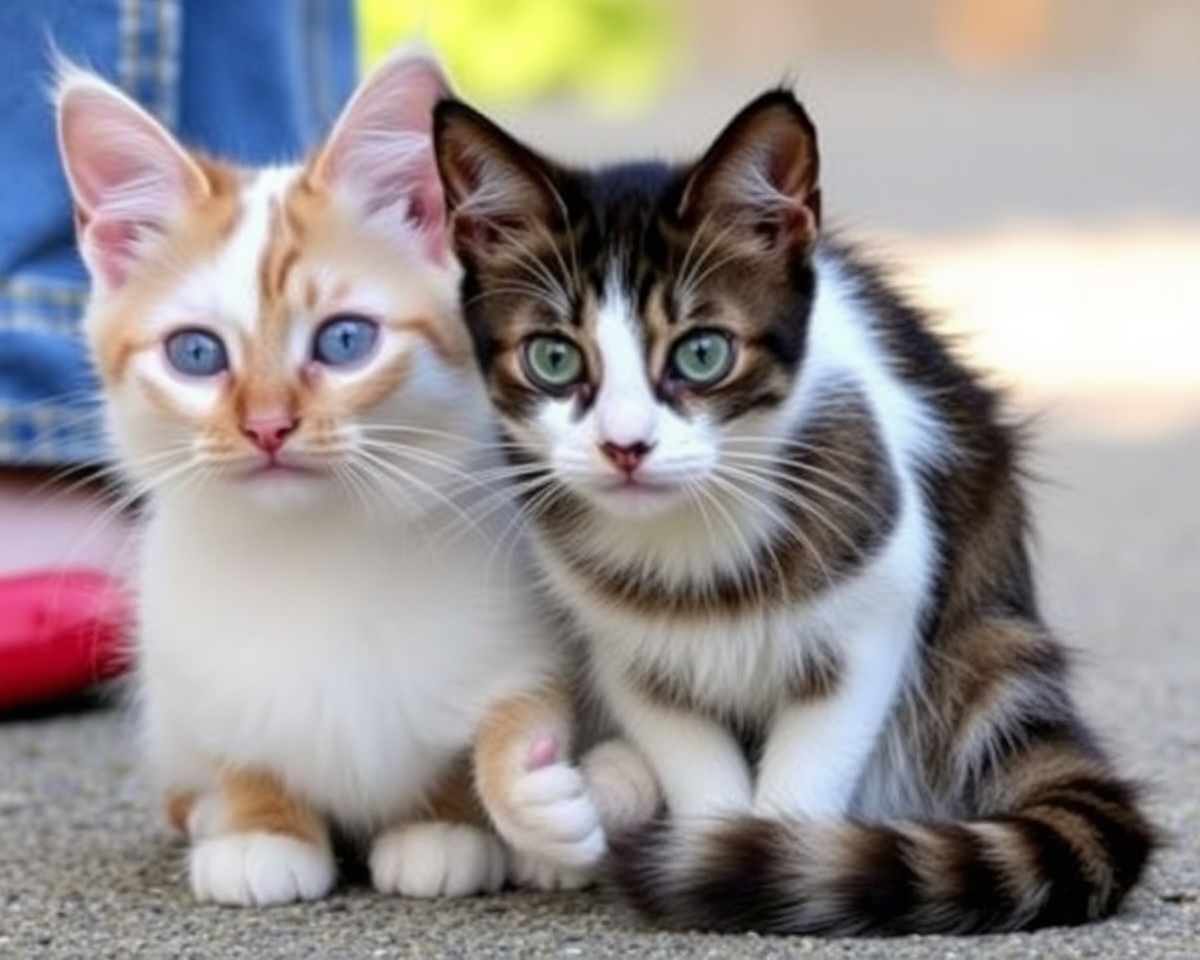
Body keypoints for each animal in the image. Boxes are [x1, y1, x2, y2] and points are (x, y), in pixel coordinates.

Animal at [55, 52, 652, 907]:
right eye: (196, 354)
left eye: (344, 341)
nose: (268, 426)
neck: (318, 545)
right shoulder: (188, 666)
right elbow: (234, 744)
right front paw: (259, 827)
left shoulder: (520, 627)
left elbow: (511, 715)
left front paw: (464, 820)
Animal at [429, 86, 1152, 936]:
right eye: (553, 357)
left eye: (703, 352)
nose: (625, 446)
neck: (691, 545)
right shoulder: (624, 650)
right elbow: (687, 749)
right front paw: (714, 849)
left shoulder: (877, 606)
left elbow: (813, 762)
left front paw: (762, 863)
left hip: (981, 644)